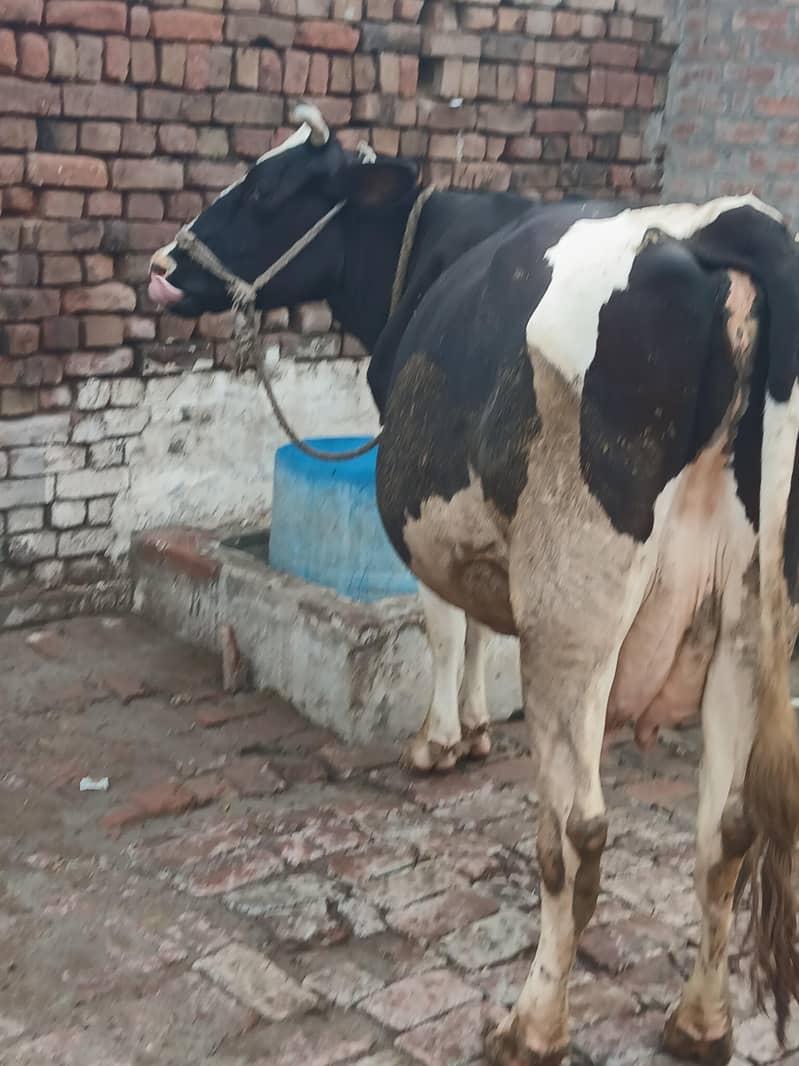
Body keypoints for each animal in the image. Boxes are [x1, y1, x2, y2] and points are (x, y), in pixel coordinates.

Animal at [149, 106, 799, 1065]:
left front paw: (438, 741)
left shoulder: (432, 515)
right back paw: (699, 1022)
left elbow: (444, 621)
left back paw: (531, 1025)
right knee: (727, 829)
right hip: (746, 621)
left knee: (575, 832)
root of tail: (731, 223)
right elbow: (481, 624)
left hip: (576, 609)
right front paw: (478, 729)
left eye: (265, 190)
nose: (163, 268)